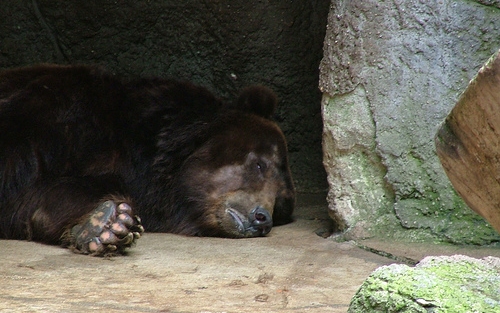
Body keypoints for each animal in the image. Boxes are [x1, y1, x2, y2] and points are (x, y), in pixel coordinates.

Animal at [0, 64, 294, 256]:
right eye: (260, 164)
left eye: (280, 202)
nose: (262, 218)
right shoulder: (55, 112)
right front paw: (109, 222)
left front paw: (107, 223)